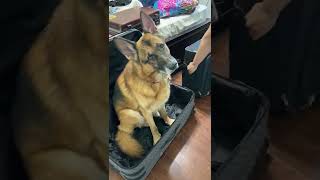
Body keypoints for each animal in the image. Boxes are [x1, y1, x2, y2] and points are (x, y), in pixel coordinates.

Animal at [112, 11, 179, 158]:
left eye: (161, 46)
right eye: (150, 58)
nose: (174, 65)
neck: (152, 81)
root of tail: (120, 129)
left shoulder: (161, 103)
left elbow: (164, 113)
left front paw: (169, 122)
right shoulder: (145, 111)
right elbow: (153, 127)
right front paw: (157, 140)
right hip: (132, 113)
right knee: (142, 124)